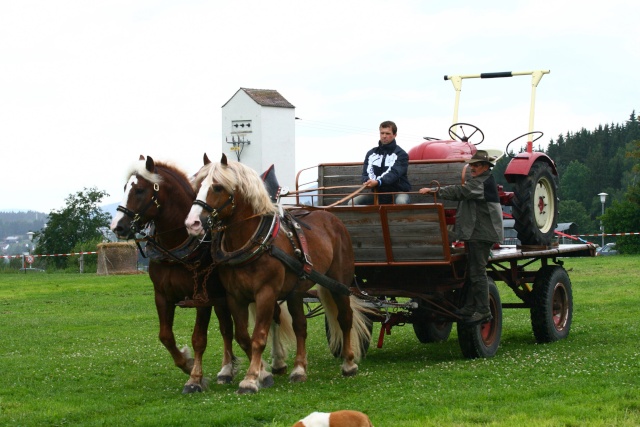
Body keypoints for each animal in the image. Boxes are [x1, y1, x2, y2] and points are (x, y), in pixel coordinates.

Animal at [111, 155, 294, 394]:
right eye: (125, 187)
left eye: (140, 190)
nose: (117, 227)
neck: (178, 244)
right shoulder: (162, 296)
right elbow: (166, 336)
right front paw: (187, 364)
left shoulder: (202, 299)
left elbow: (199, 338)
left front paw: (195, 378)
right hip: (224, 298)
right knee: (227, 329)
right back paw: (227, 370)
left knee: (271, 318)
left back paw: (276, 361)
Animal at [182, 154, 372, 394]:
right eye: (198, 185)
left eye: (217, 187)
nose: (192, 223)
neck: (254, 241)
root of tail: (332, 218)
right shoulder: (235, 297)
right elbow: (243, 336)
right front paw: (262, 373)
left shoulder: (266, 293)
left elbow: (259, 337)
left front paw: (250, 379)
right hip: (296, 292)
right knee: (301, 326)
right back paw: (299, 369)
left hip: (339, 283)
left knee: (345, 318)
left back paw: (348, 363)